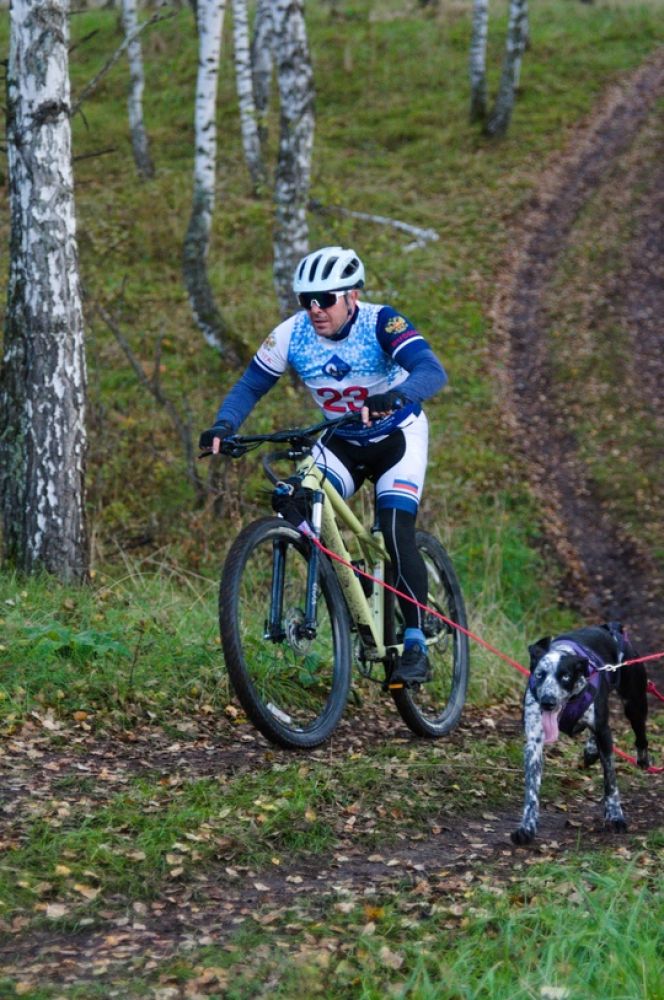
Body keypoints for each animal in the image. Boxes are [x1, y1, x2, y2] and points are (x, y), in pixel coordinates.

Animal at [512, 624, 648, 844]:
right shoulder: (534, 742)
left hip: (635, 705)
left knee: (641, 737)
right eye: (540, 674)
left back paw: (643, 760)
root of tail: (610, 627)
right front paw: (527, 827)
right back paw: (591, 749)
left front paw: (615, 816)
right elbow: (531, 791)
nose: (548, 702)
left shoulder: (604, 732)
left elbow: (611, 781)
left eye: (565, 676)